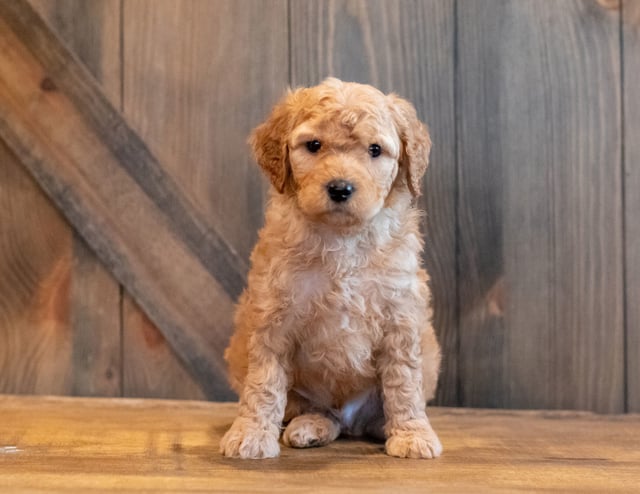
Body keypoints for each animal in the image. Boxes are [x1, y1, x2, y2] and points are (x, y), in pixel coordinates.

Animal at [220, 77, 440, 460]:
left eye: (374, 150)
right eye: (314, 145)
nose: (340, 188)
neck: (343, 239)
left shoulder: (400, 316)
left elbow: (404, 382)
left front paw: (412, 434)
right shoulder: (273, 317)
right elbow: (263, 383)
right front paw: (251, 433)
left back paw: (381, 426)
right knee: (321, 412)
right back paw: (310, 426)